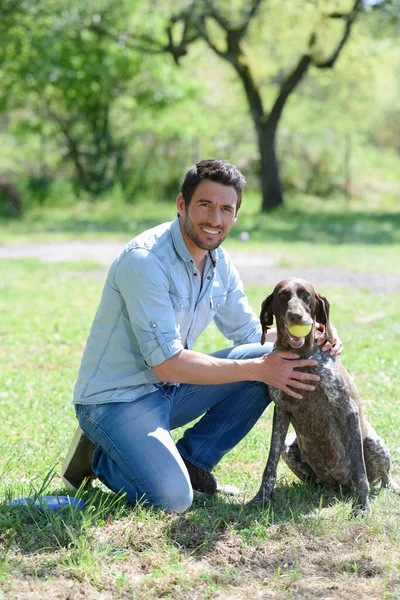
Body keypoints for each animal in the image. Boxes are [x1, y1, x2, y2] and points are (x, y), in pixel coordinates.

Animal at [252, 278, 398, 516]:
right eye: (282, 295)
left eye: (306, 295)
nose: (296, 316)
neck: (301, 356)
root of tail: (339, 484)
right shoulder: (281, 410)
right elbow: (270, 464)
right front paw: (262, 498)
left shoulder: (348, 410)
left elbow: (360, 471)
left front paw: (362, 506)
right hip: (290, 447)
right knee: (313, 481)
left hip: (372, 442)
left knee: (382, 480)